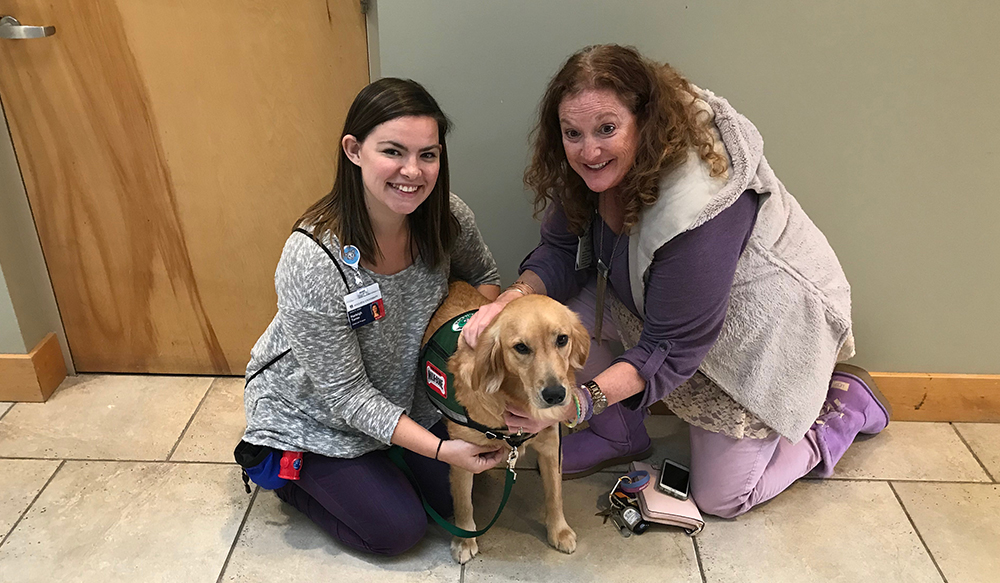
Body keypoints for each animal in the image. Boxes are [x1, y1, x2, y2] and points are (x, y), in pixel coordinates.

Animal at [420, 282, 588, 564]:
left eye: (562, 339)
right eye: (521, 347)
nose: (555, 394)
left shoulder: (551, 445)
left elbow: (555, 493)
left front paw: (559, 530)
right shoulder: (462, 456)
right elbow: (464, 502)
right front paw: (464, 540)